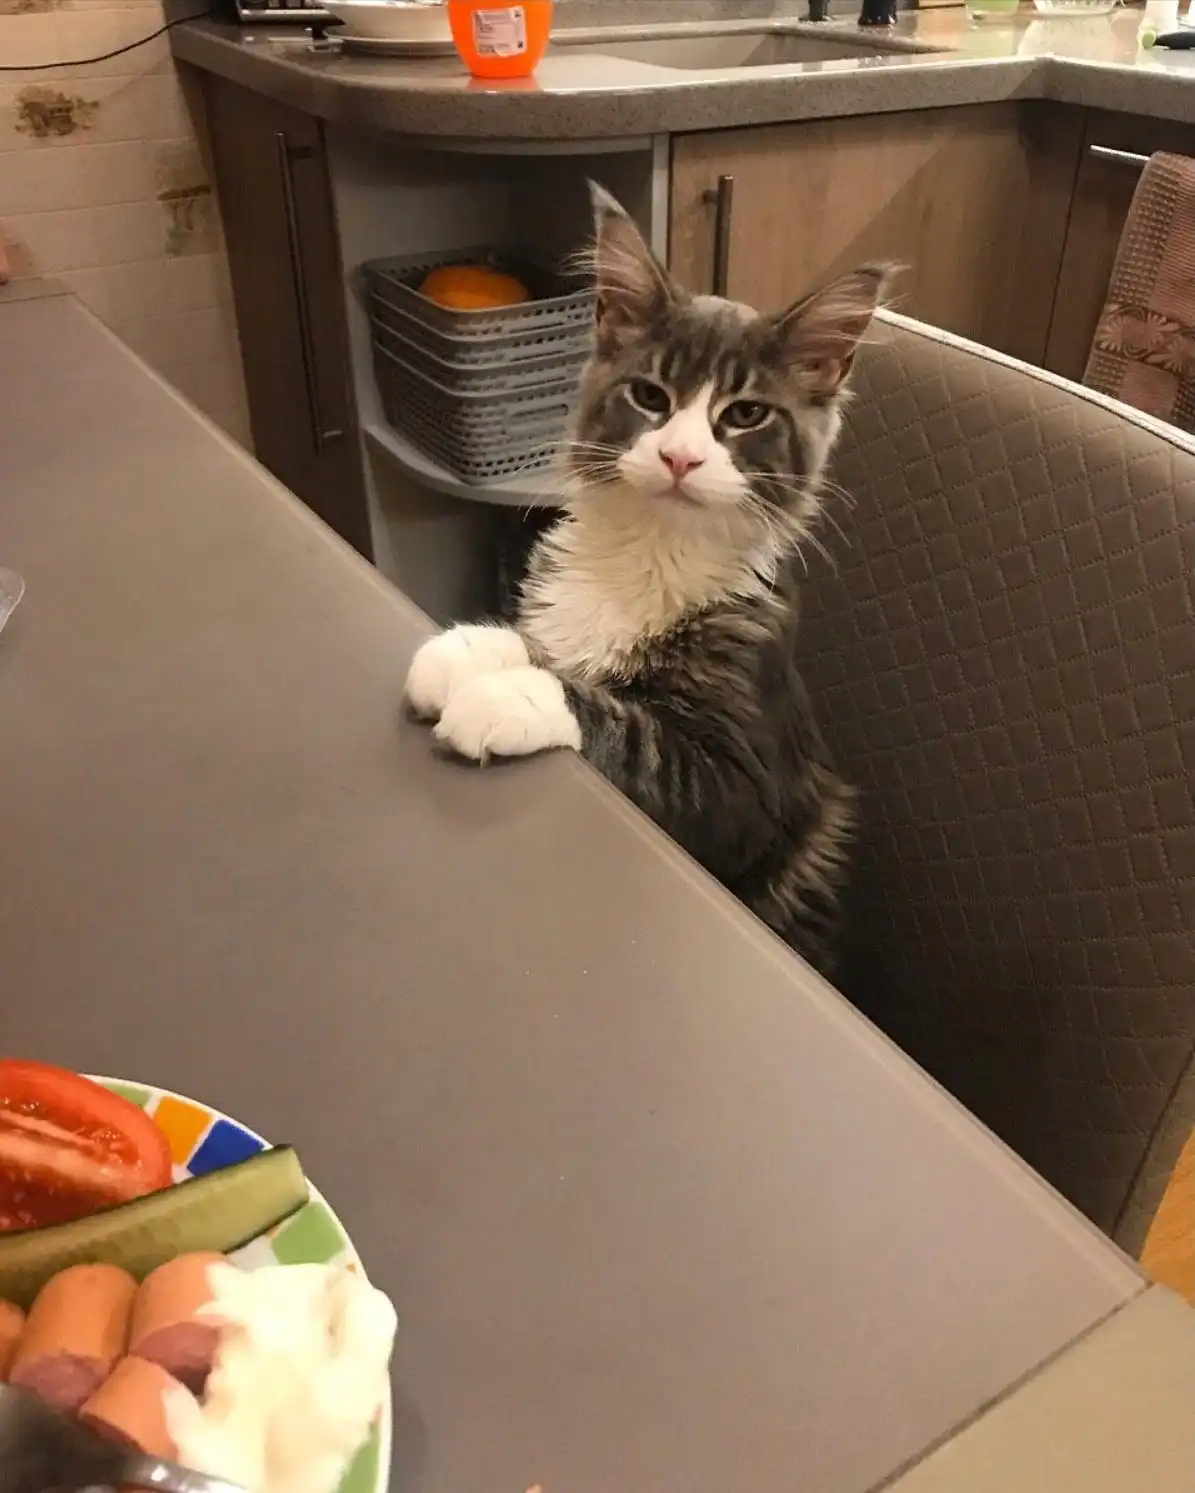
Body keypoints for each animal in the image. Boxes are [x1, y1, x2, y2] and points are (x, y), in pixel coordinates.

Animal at [404, 183, 888, 976]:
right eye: (651, 397)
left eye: (744, 414)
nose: (680, 458)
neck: (650, 551)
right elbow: (544, 646)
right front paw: (466, 651)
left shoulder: (745, 788)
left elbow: (623, 724)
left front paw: (503, 698)